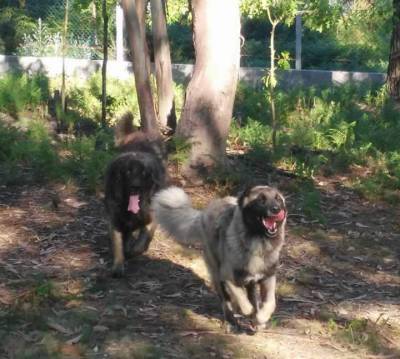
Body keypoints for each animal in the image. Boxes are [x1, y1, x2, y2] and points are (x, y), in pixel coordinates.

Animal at [105, 121, 166, 278]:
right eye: (127, 171)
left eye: (144, 173)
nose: (135, 187)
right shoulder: (115, 220)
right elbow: (118, 244)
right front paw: (118, 265)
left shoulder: (151, 217)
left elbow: (144, 236)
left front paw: (134, 250)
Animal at [152, 186, 286, 332]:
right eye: (261, 200)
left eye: (278, 199)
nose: (277, 209)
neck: (257, 242)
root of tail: (204, 213)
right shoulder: (228, 277)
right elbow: (244, 304)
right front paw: (249, 313)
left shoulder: (268, 278)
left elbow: (270, 304)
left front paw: (260, 319)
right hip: (217, 276)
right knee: (226, 302)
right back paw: (232, 320)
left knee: (251, 298)